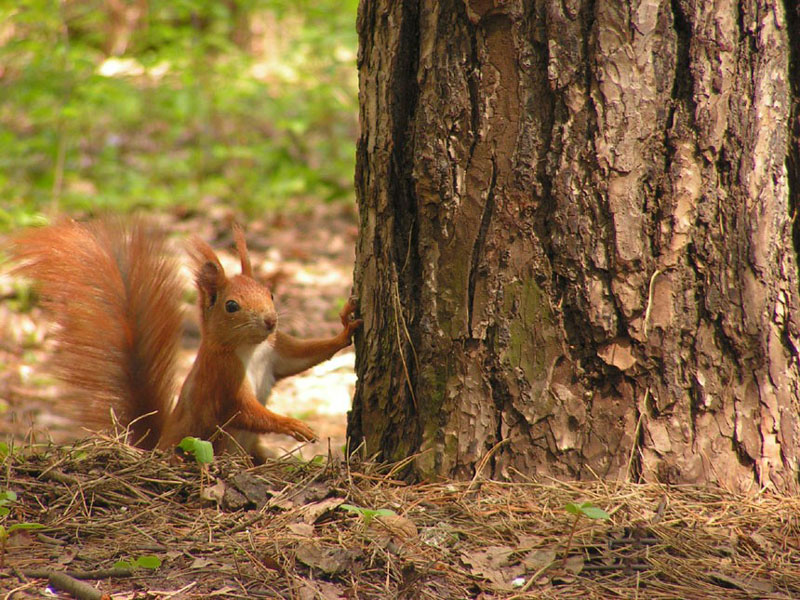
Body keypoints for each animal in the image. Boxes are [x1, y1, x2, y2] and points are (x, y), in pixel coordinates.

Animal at [7, 218, 360, 458]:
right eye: (232, 306)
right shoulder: (221, 379)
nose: (270, 321)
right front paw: (293, 425)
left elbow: (305, 356)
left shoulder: (276, 351)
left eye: (270, 293)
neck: (249, 349)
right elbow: (245, 411)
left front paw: (346, 330)